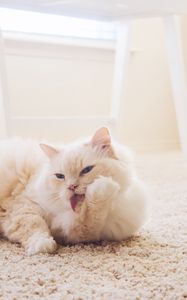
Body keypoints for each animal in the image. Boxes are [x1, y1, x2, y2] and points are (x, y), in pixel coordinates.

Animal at [0, 127, 148, 254]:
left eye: (86, 170)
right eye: (60, 176)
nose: (71, 186)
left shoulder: (78, 233)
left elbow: (88, 220)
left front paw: (102, 188)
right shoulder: (23, 205)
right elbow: (33, 225)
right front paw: (42, 244)